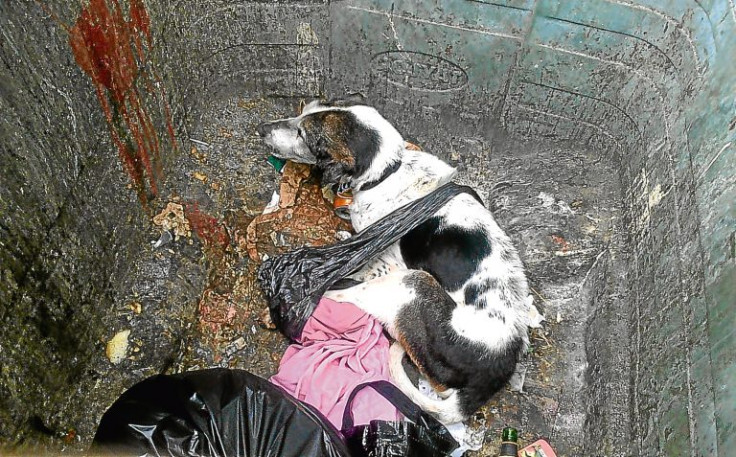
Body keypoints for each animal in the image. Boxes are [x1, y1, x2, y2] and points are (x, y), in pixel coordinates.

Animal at [256, 94, 536, 422]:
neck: (388, 171)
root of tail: (495, 371)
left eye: (303, 134)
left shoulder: (387, 265)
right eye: (304, 112)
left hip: (413, 281)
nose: (261, 129)